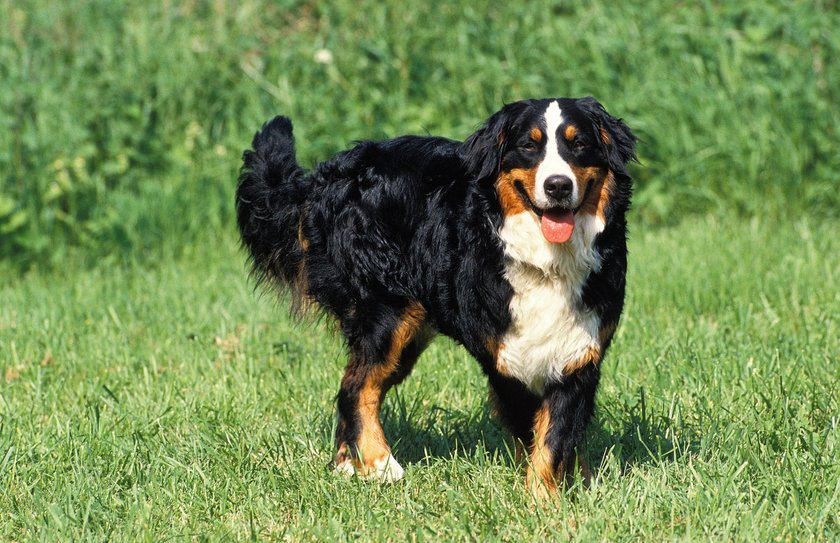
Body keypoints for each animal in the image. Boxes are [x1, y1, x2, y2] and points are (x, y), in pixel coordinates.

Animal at [236, 98, 636, 498]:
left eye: (579, 143)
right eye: (529, 145)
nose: (557, 186)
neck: (546, 262)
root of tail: (327, 177)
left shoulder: (579, 350)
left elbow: (558, 433)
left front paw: (571, 485)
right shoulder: (506, 357)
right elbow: (539, 433)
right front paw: (543, 500)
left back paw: (349, 465)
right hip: (388, 314)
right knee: (355, 388)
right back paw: (379, 464)